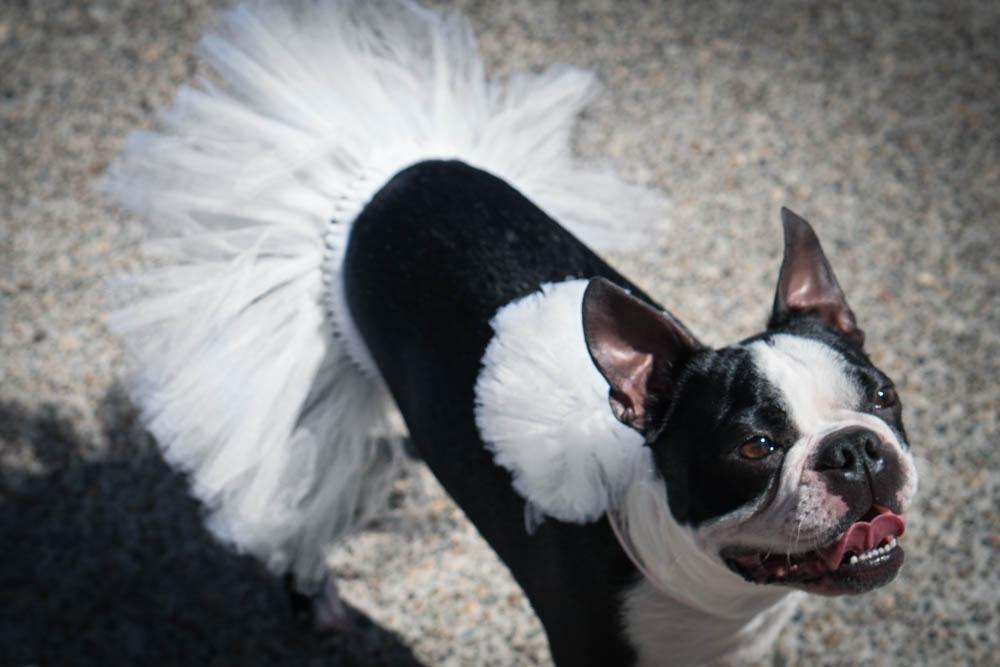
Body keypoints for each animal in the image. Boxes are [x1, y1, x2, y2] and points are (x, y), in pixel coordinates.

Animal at [105, 2, 916, 664]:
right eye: (755, 447)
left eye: (883, 396)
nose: (854, 446)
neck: (706, 585)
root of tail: (386, 175)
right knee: (293, 491)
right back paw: (314, 596)